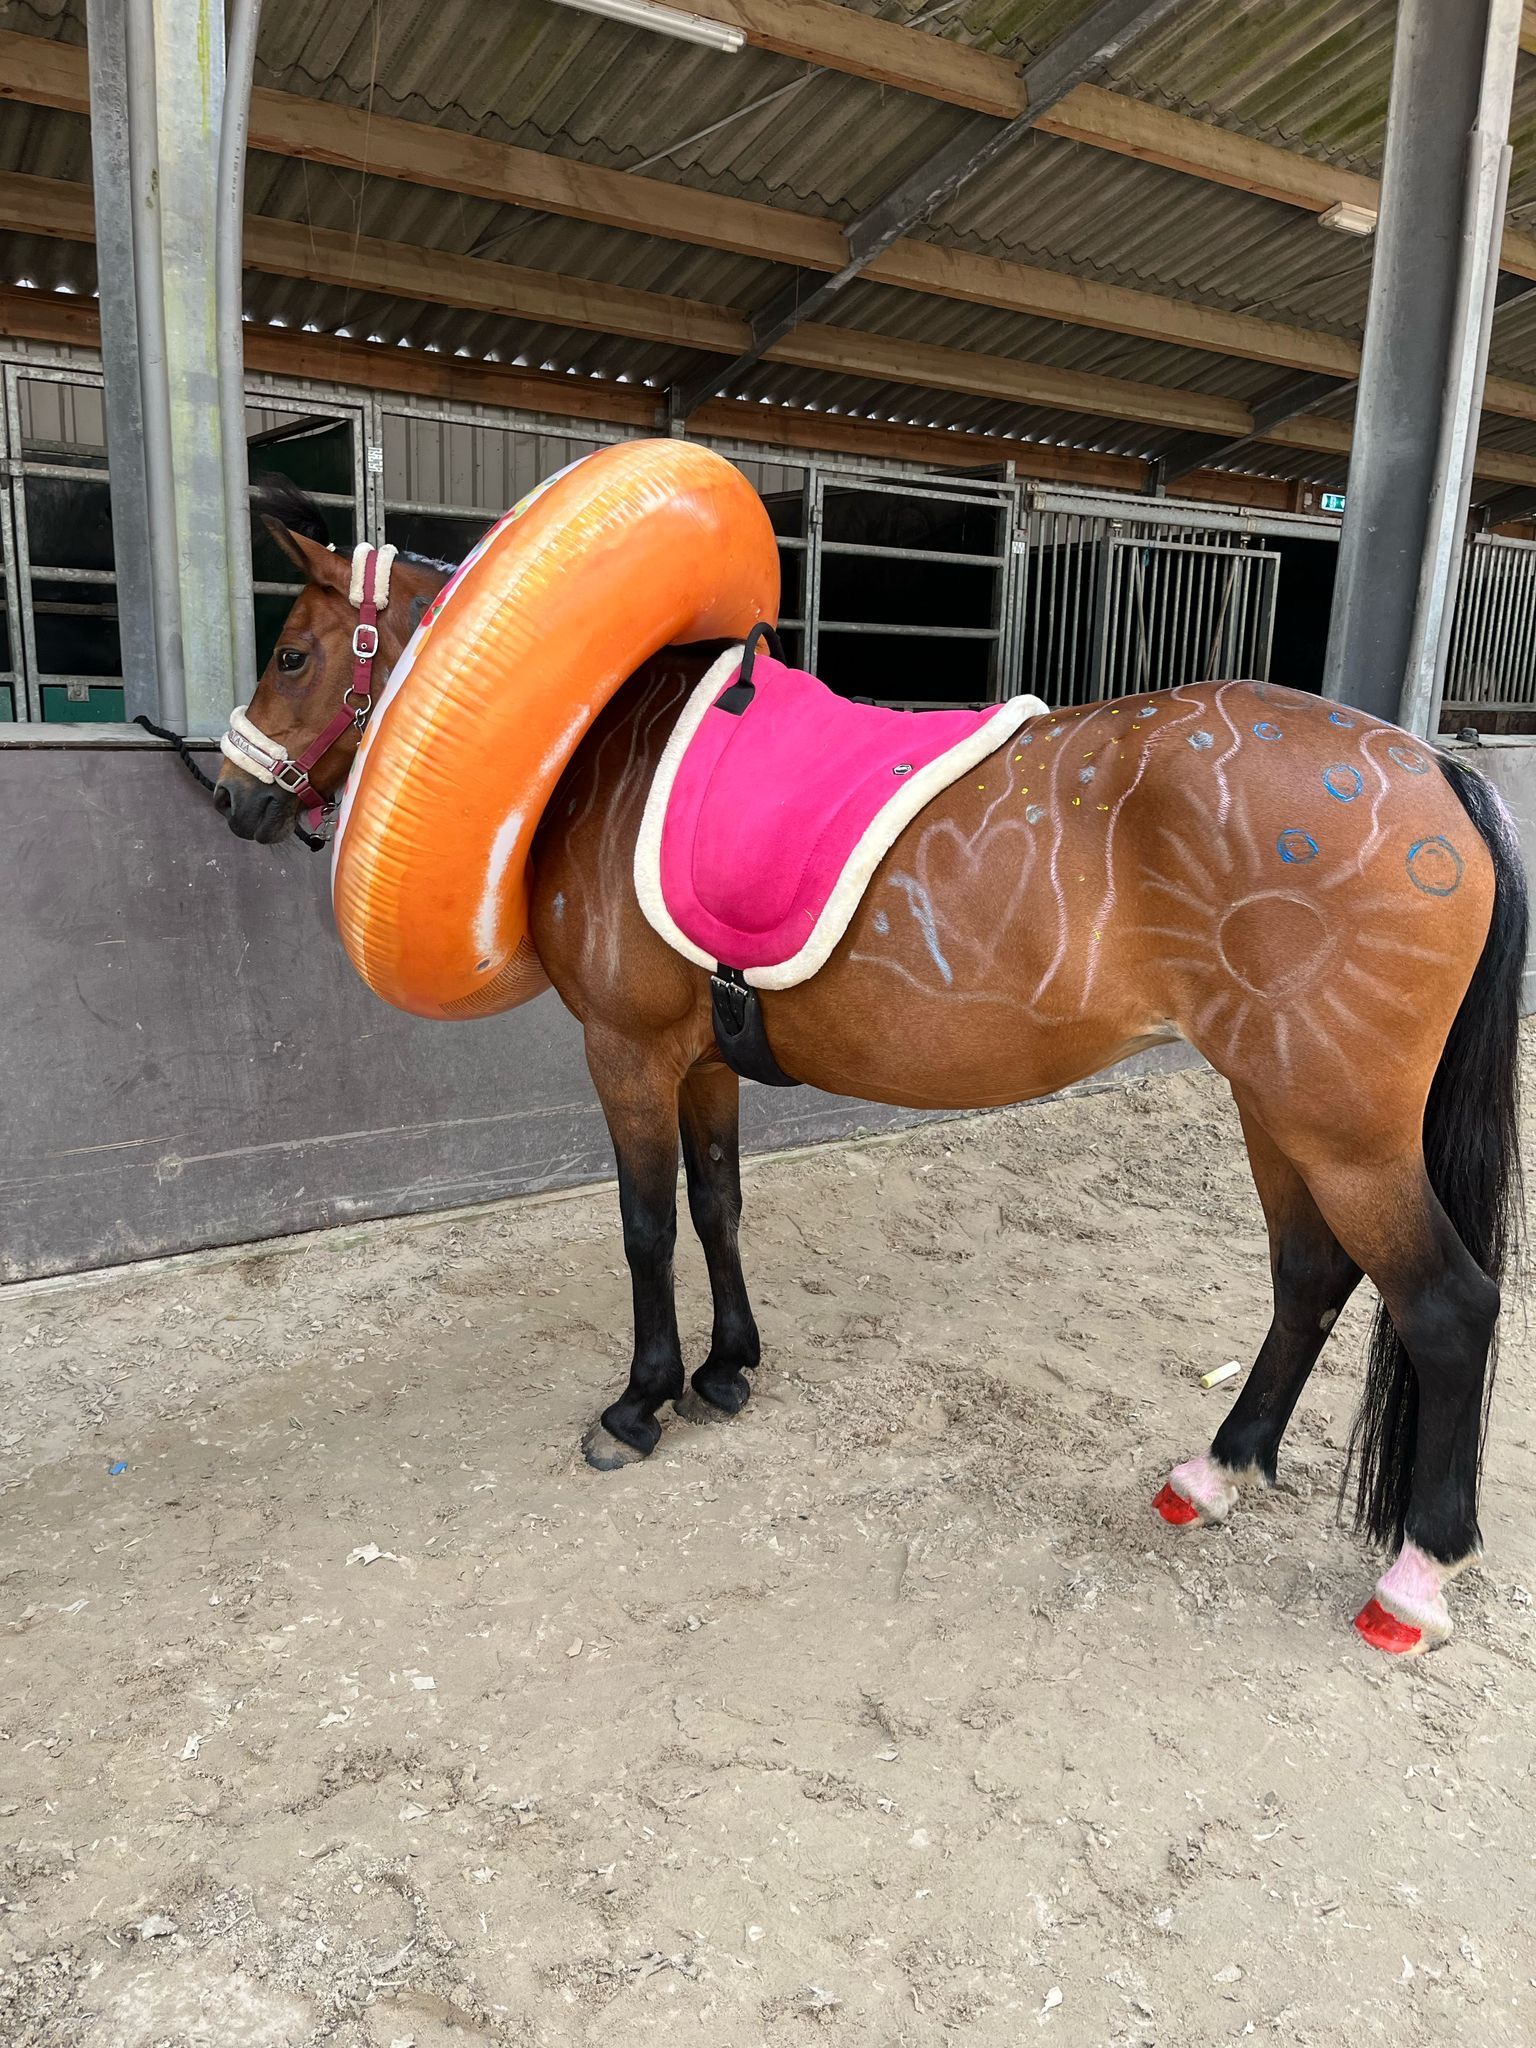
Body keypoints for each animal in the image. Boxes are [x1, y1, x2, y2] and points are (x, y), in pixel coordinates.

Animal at [214, 486, 1526, 1657]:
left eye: (290, 652)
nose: (230, 797)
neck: (610, 756)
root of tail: (1434, 768)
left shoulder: (627, 1052)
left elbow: (647, 1225)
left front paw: (640, 1402)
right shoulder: (704, 1059)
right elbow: (718, 1201)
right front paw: (727, 1368)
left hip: (1343, 1128)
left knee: (1448, 1307)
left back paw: (1416, 1576)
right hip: (1276, 1105)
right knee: (1309, 1277)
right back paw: (1214, 1472)